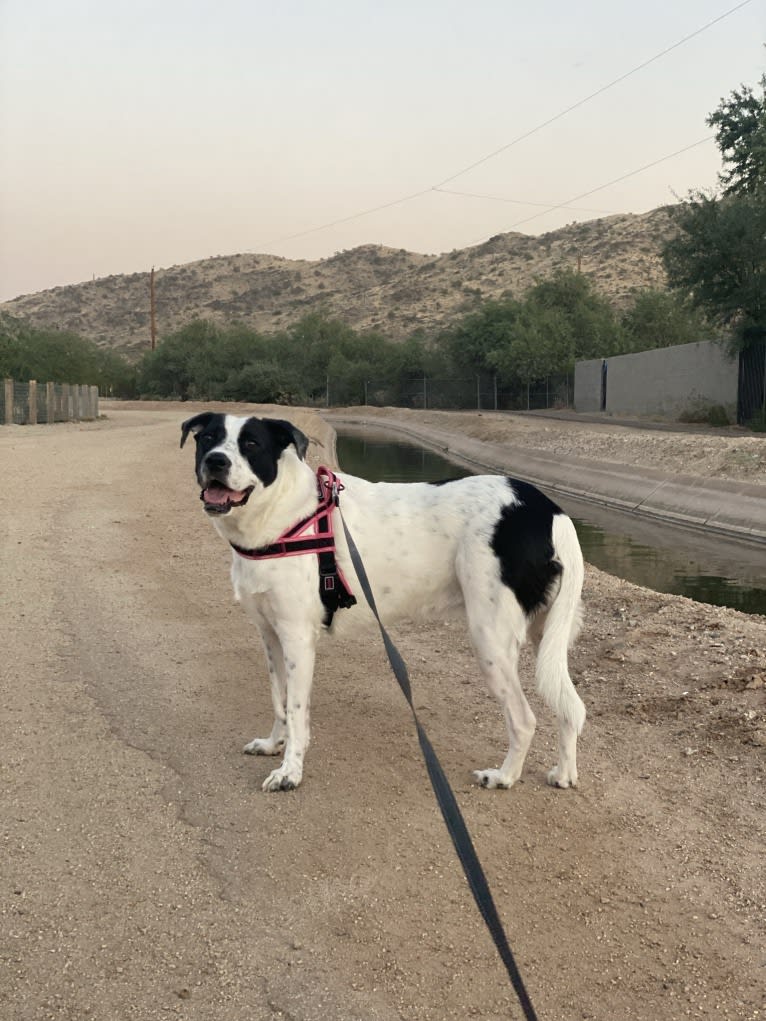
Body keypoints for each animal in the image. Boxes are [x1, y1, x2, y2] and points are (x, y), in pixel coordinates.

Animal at [181, 410, 588, 792]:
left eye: (251, 444)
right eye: (208, 439)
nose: (216, 461)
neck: (283, 516)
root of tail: (548, 510)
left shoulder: (297, 638)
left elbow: (296, 711)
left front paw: (290, 772)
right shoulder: (270, 635)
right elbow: (278, 700)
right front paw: (272, 745)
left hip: (491, 638)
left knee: (524, 718)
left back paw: (504, 776)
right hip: (543, 633)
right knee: (571, 707)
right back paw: (564, 773)